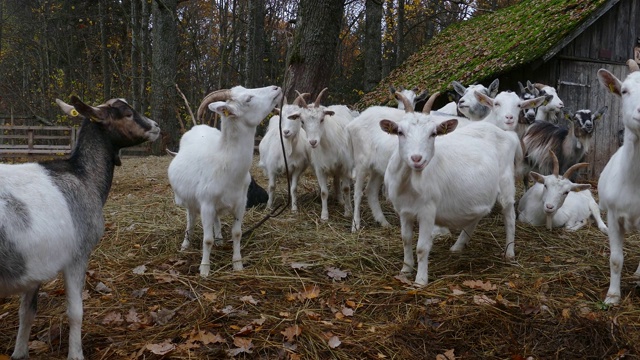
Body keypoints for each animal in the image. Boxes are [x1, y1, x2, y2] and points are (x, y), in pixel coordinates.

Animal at [0, 97, 159, 358]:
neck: (84, 175)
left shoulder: (36, 265)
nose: (155, 126)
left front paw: (20, 352)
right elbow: (75, 312)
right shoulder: (78, 254)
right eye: (127, 113)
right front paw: (76, 354)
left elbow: (27, 312)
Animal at [169, 84, 282, 276]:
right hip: (190, 201)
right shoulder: (206, 204)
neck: (224, 163)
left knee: (216, 219)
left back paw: (220, 239)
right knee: (190, 220)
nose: (276, 88)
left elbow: (237, 233)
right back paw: (185, 245)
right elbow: (206, 240)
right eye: (248, 99)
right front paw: (204, 269)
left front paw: (237, 264)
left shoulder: (241, 203)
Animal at [296, 88, 356, 221]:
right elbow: (324, 192)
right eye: (302, 121)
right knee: (335, 181)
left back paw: (342, 201)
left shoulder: (345, 166)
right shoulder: (320, 169)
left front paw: (348, 212)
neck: (328, 145)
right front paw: (324, 215)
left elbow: (346, 188)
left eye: (322, 119)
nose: (313, 142)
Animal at [382, 91, 516, 286]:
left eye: (433, 133)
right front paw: (405, 270)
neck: (409, 182)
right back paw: (458, 247)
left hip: (506, 183)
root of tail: (506, 134)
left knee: (510, 216)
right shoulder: (404, 211)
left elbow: (422, 247)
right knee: (477, 215)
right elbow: (406, 239)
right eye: (400, 132)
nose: (417, 159)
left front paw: (420, 280)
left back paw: (509, 253)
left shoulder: (428, 210)